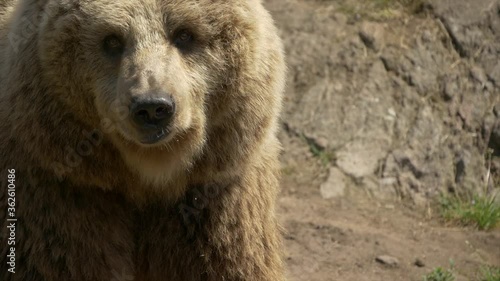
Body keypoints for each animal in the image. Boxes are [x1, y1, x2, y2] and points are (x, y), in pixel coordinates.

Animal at [0, 0, 286, 278]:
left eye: (184, 34)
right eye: (112, 40)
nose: (152, 108)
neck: (149, 174)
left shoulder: (217, 199)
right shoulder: (60, 194)